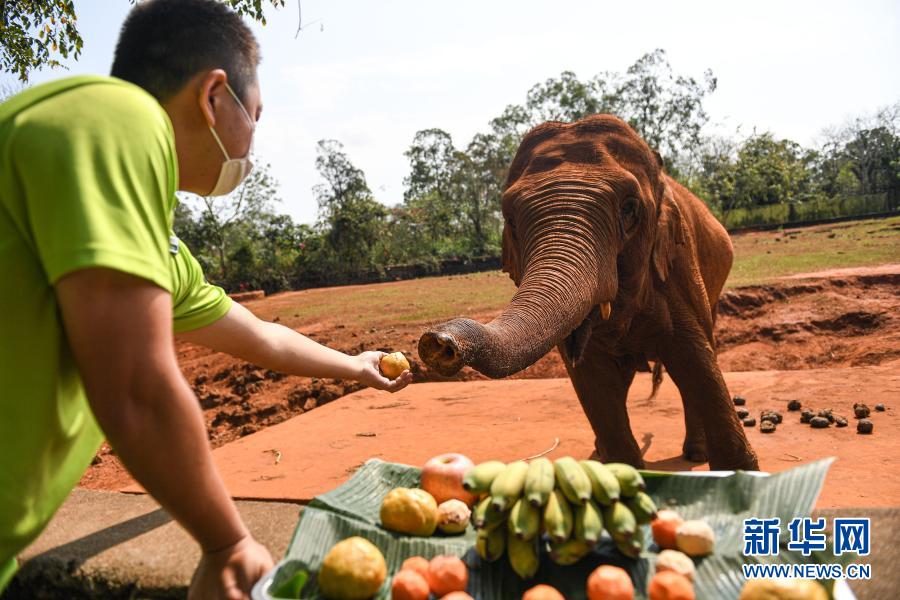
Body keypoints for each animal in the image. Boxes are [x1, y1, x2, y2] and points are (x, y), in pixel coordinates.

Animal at [418, 111, 756, 468]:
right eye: (510, 219)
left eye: (629, 208)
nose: (438, 342)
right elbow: (594, 381)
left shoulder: (676, 264)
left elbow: (694, 357)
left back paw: (695, 453)